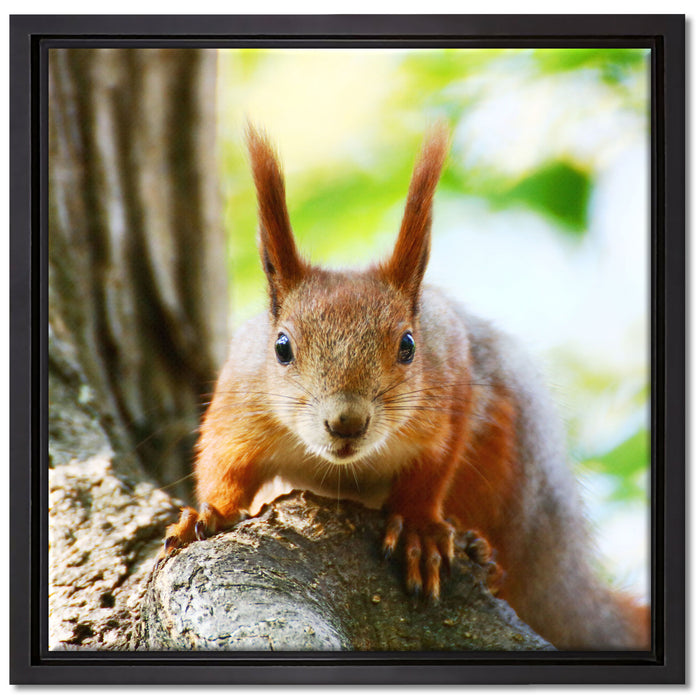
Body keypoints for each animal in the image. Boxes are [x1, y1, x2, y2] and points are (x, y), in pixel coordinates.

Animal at [163, 123, 650, 651]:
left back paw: (482, 552)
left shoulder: (450, 388)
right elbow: (224, 463)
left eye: (409, 345)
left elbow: (432, 469)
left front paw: (420, 529)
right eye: (282, 347)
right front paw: (208, 513)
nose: (346, 422)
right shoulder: (241, 400)